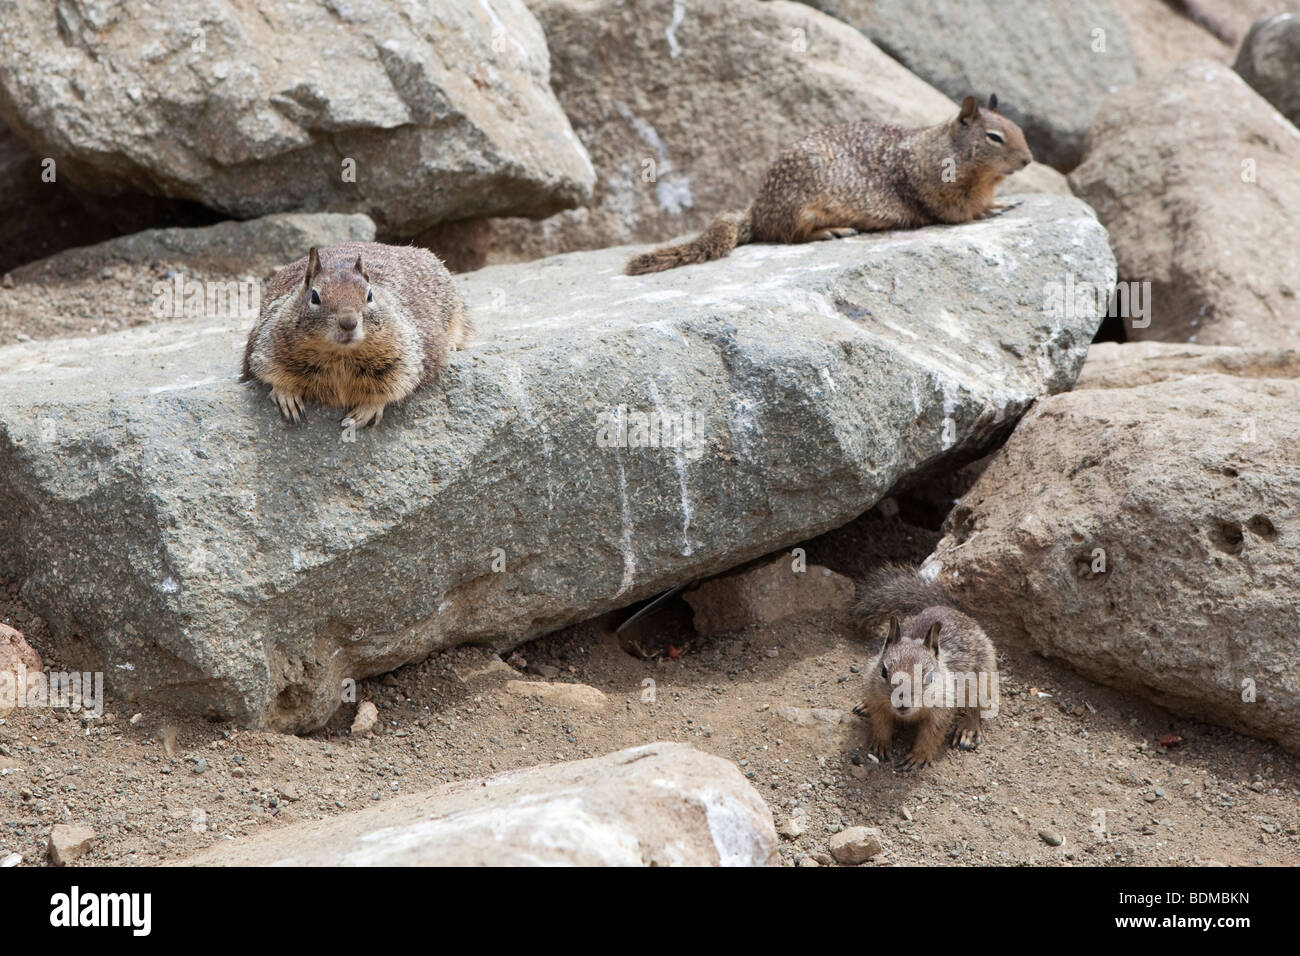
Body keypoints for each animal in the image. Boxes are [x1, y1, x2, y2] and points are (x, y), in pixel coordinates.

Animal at [242, 241, 470, 428]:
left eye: (369, 295)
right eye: (314, 296)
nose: (348, 323)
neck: (340, 355)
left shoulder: (406, 351)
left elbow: (398, 383)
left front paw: (364, 411)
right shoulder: (268, 339)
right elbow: (267, 369)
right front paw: (287, 397)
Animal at [624, 94, 1032, 275]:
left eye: (1019, 128)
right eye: (995, 137)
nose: (1029, 160)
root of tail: (756, 212)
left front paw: (1002, 202)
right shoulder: (941, 194)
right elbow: (963, 213)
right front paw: (994, 208)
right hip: (801, 209)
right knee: (789, 236)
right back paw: (831, 231)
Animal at [852, 563, 1000, 771]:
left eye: (929, 677)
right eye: (883, 671)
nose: (902, 704)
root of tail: (951, 608)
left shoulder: (943, 707)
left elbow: (931, 735)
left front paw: (918, 756)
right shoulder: (877, 698)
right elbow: (881, 723)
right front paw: (882, 743)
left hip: (983, 675)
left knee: (976, 707)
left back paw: (968, 729)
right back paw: (864, 705)